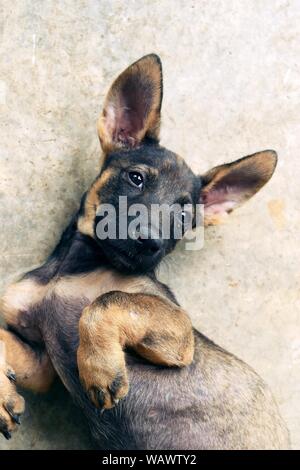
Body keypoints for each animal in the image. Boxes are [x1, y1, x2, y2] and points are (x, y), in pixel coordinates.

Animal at [0, 54, 290, 448]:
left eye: (184, 216)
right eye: (135, 178)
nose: (149, 241)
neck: (72, 269)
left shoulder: (178, 329)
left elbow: (108, 300)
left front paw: (100, 368)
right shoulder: (42, 361)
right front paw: (5, 395)